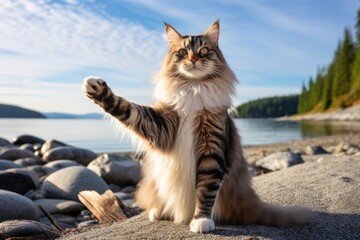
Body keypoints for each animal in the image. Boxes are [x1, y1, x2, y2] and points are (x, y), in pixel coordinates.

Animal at [81, 20, 312, 232]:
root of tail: (250, 200)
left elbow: (206, 189)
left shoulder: (211, 147)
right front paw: (97, 89)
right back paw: (158, 211)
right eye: (183, 52)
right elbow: (128, 109)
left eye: (203, 51)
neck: (193, 87)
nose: (192, 59)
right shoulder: (162, 126)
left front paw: (201, 220)